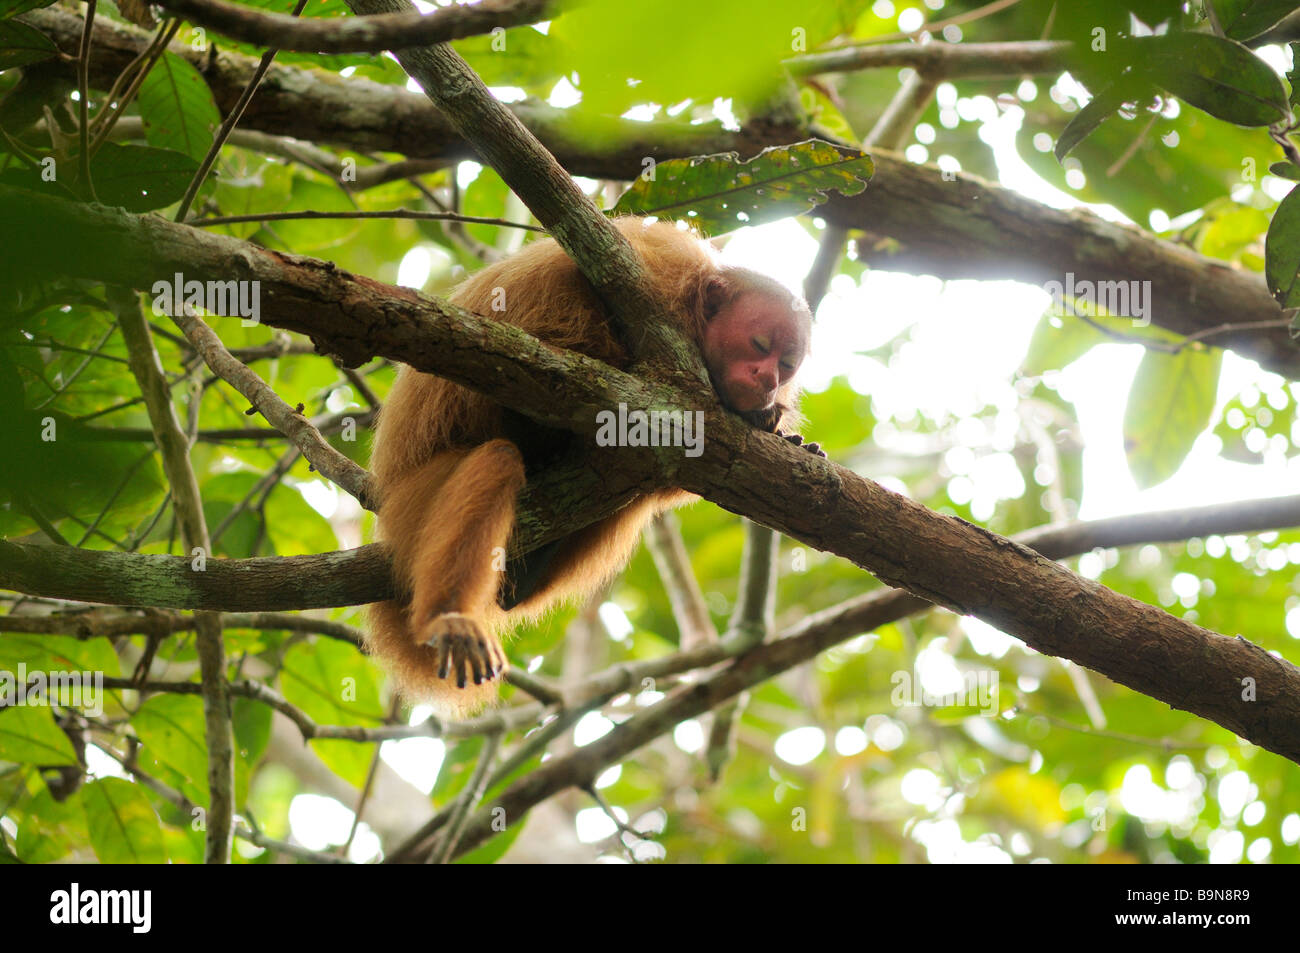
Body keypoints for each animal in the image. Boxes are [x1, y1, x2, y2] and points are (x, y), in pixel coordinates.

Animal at [364, 217, 811, 712]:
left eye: (786, 364)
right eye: (759, 344)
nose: (767, 379)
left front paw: (783, 432)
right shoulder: (658, 279)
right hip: (410, 505)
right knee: (498, 457)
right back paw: (448, 617)